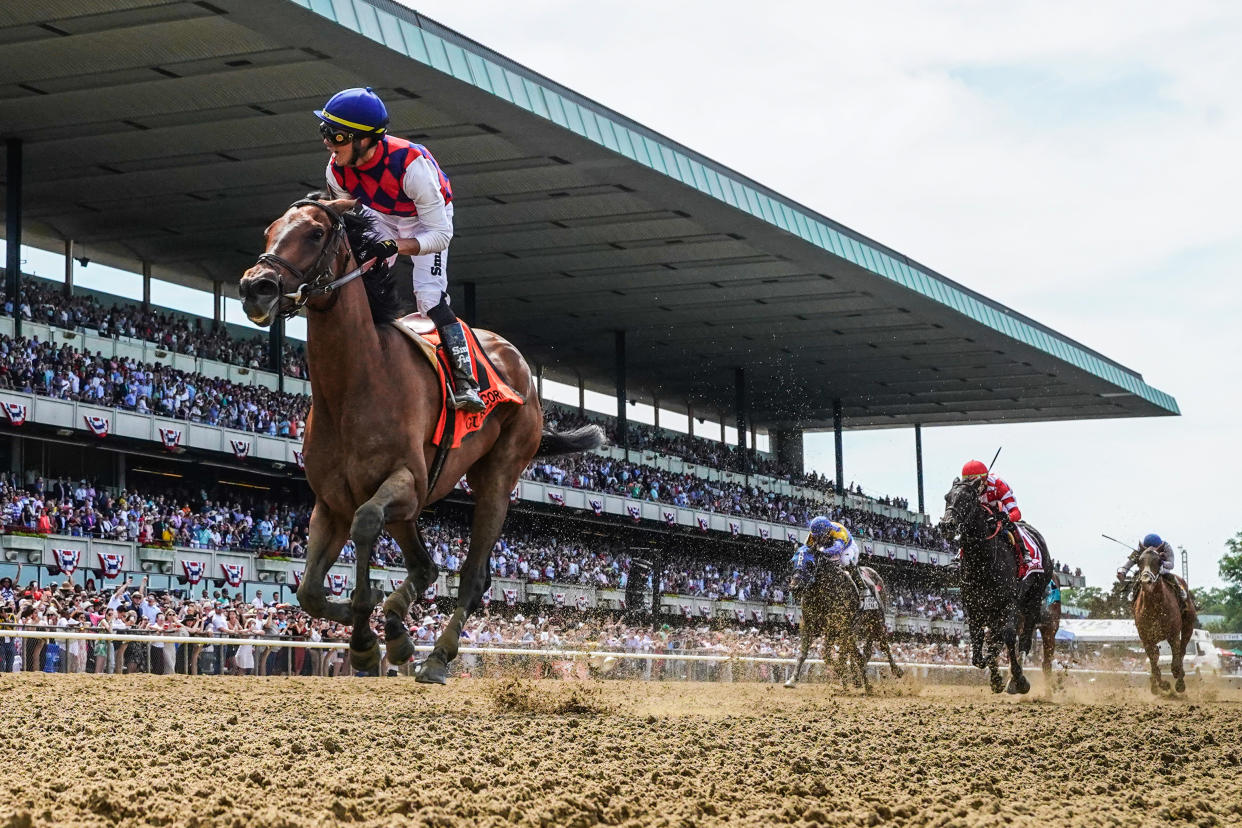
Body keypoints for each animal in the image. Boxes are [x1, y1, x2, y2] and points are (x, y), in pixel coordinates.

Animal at [238, 197, 606, 685]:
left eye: (315, 233)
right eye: (269, 230)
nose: (255, 287)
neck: (355, 383)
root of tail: (517, 362)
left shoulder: (407, 483)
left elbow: (365, 524)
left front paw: (365, 639)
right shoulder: (331, 501)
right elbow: (309, 592)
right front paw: (369, 627)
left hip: (497, 476)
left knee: (472, 576)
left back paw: (436, 656)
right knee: (426, 566)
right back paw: (398, 627)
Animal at [938, 476, 1048, 695]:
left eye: (968, 499)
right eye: (947, 497)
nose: (947, 526)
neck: (983, 560)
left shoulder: (1008, 602)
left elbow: (1006, 636)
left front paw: (1018, 679)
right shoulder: (975, 606)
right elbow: (979, 651)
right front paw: (996, 678)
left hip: (1033, 599)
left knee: (1024, 638)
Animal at [1132, 546, 1197, 695]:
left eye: (1159, 560)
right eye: (1139, 561)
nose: (1146, 581)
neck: (1154, 606)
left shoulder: (1173, 635)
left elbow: (1176, 660)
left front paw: (1179, 683)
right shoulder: (1146, 638)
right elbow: (1154, 662)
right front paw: (1162, 685)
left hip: (1188, 625)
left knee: (1182, 650)